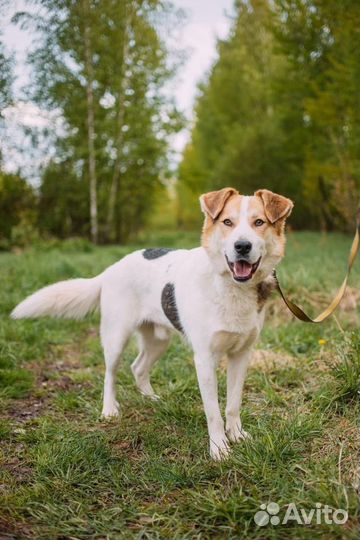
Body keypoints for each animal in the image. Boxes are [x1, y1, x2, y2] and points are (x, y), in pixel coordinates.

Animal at [11, 189, 292, 460]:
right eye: (227, 222)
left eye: (259, 222)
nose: (242, 246)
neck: (230, 287)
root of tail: (111, 268)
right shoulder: (204, 358)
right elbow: (213, 412)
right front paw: (219, 448)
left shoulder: (241, 355)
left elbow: (233, 404)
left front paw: (236, 435)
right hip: (116, 336)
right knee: (110, 373)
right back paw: (109, 409)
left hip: (158, 340)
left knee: (137, 367)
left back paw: (151, 399)